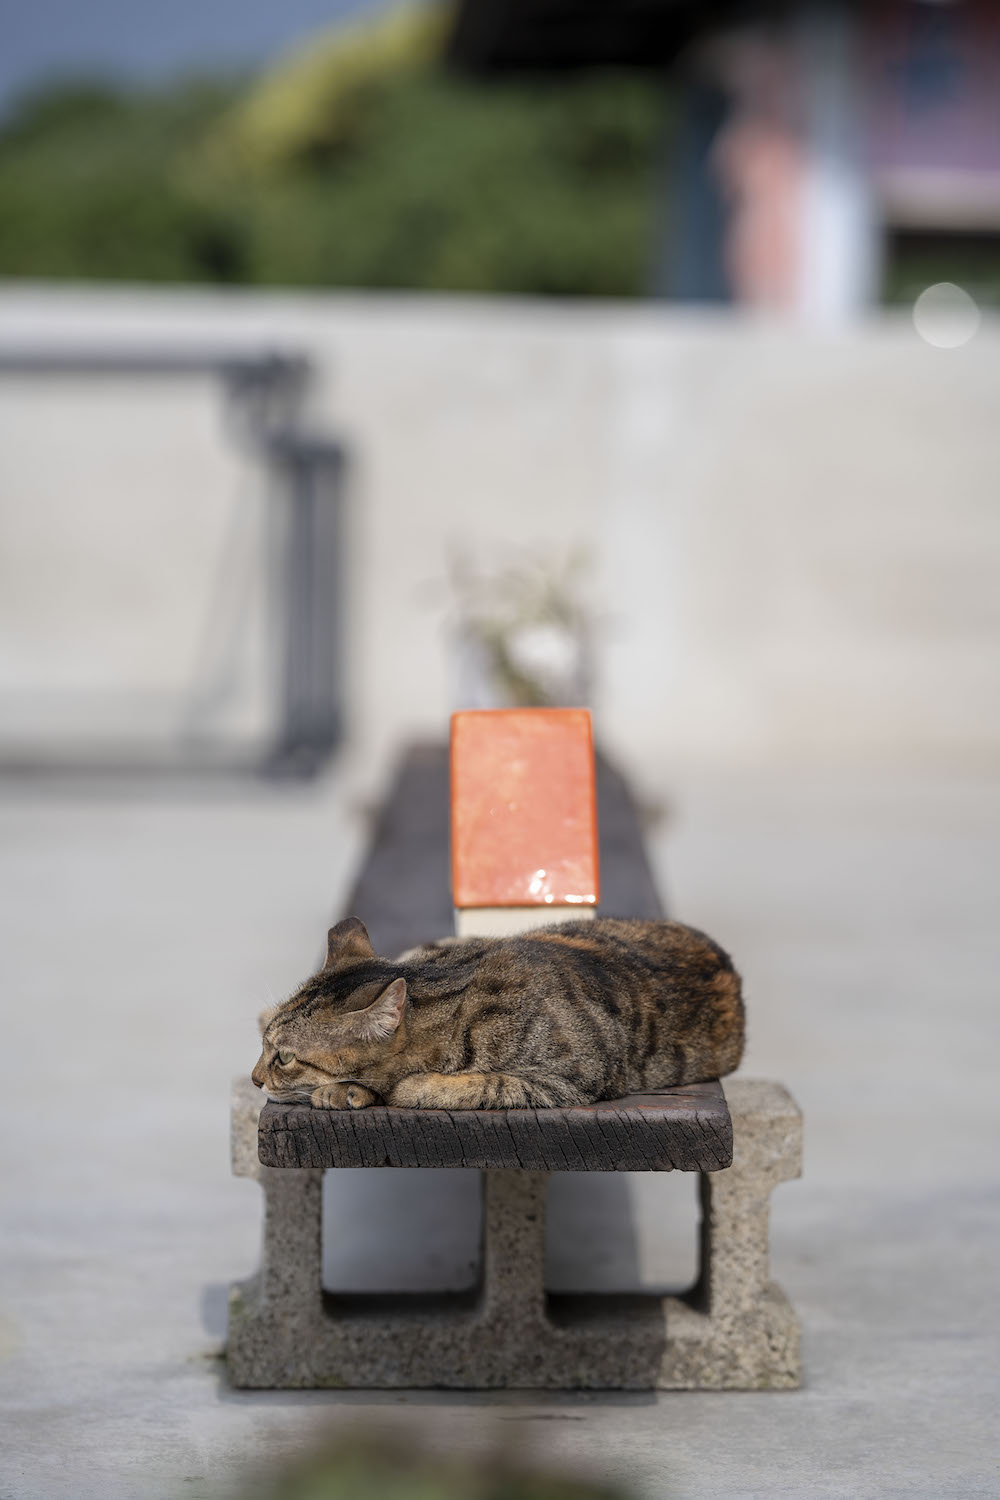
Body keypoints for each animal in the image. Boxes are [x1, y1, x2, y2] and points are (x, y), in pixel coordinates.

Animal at [251, 906, 743, 1110]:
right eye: (265, 1048)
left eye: (286, 1057)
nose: (256, 1079)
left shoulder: (568, 1078)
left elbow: (474, 1083)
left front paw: (396, 1087)